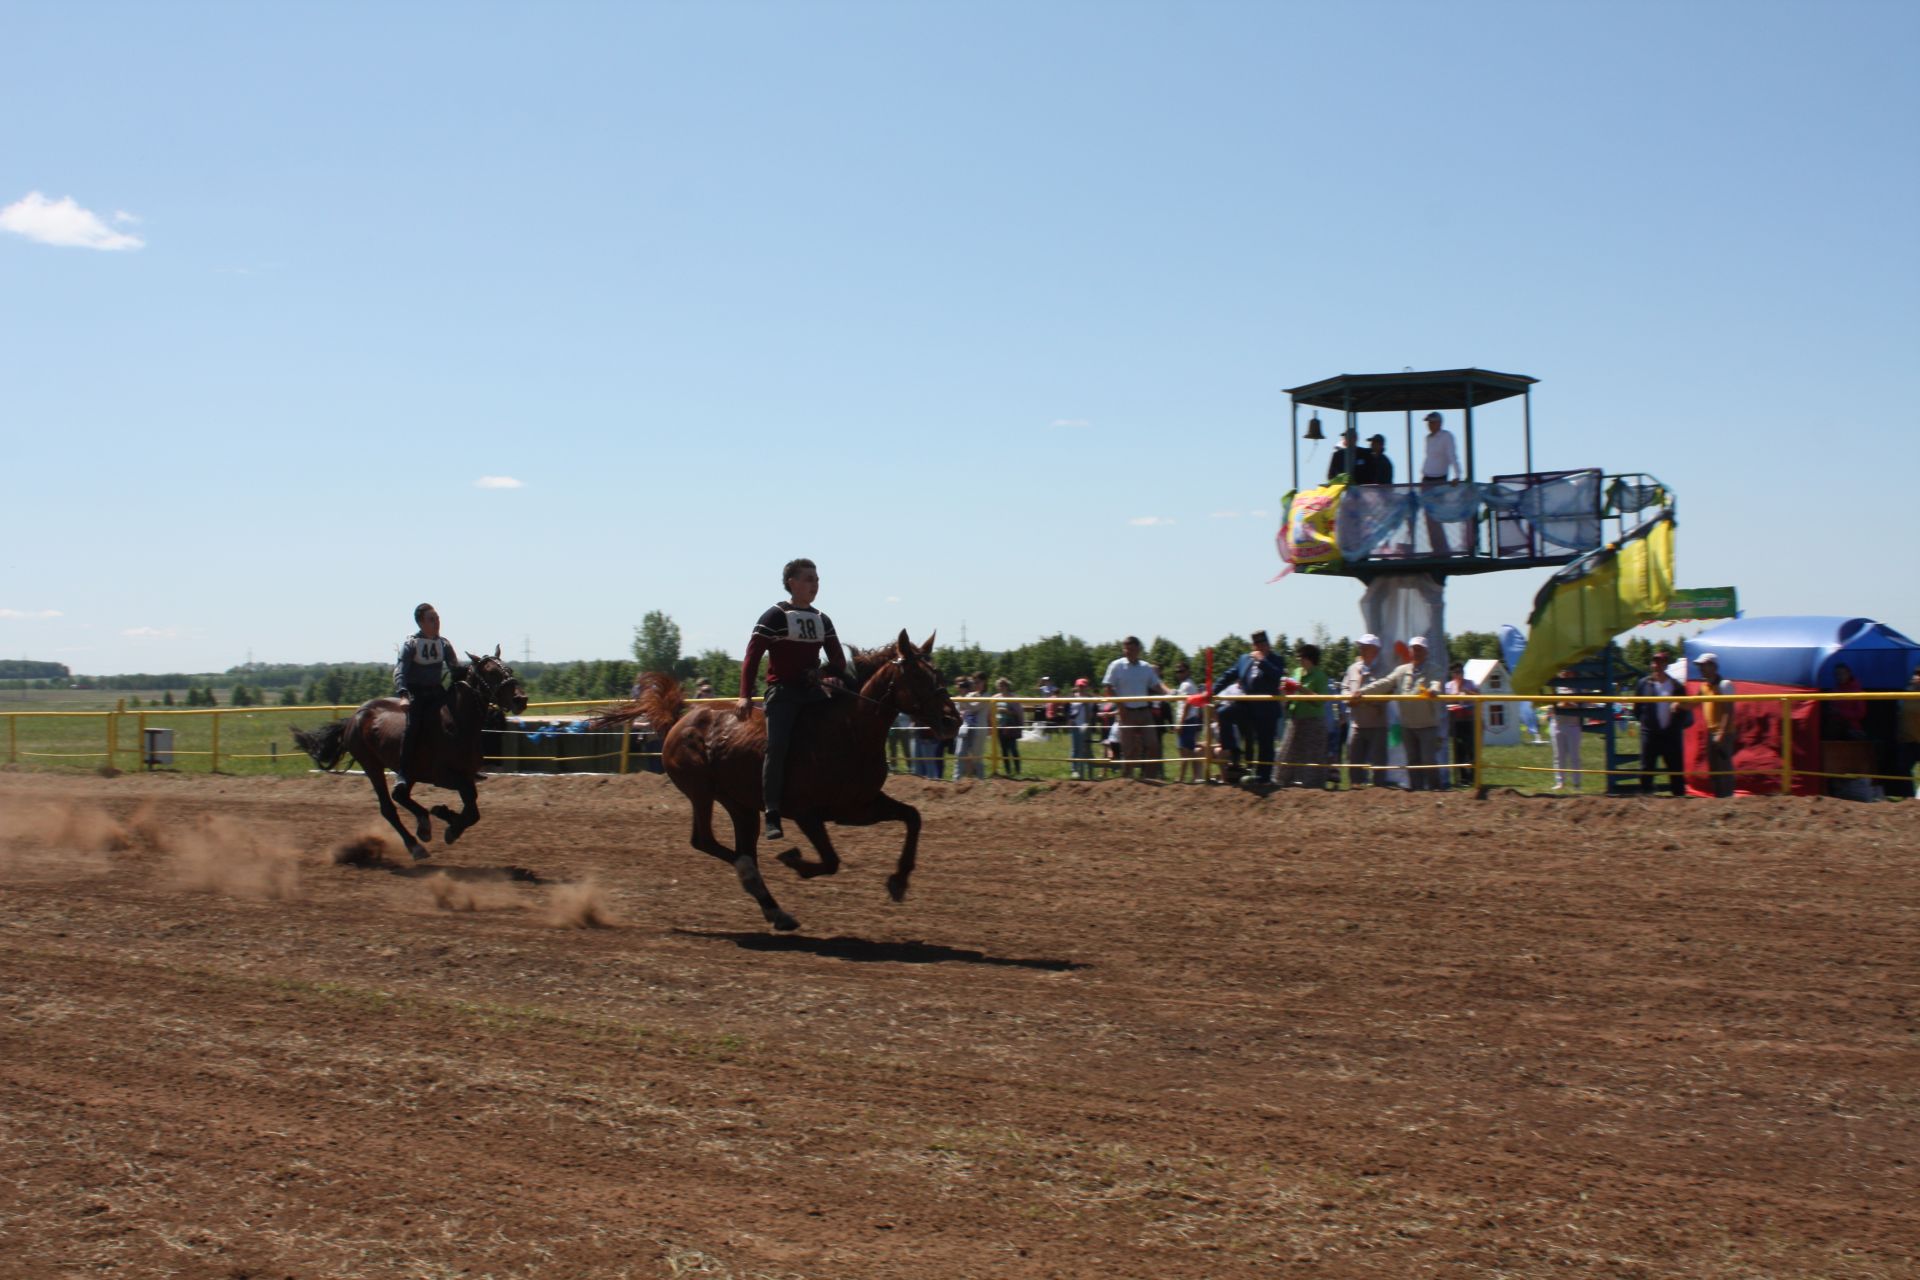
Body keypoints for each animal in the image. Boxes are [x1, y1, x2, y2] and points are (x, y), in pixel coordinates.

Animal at [288, 652, 526, 859]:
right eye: (491, 673)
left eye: (510, 669)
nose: (521, 699)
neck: (457, 723)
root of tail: (354, 717)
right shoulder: (444, 776)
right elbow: (472, 808)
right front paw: (448, 822)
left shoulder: (466, 775)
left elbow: (472, 808)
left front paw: (445, 816)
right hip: (372, 765)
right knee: (388, 807)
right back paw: (415, 845)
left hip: (408, 770)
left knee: (399, 795)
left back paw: (424, 824)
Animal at [599, 629, 960, 932]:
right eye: (917, 674)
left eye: (940, 674)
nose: (952, 721)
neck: (848, 731)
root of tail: (679, 720)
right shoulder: (806, 814)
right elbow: (830, 861)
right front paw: (794, 860)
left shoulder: (859, 807)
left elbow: (913, 816)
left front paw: (899, 881)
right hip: (701, 792)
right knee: (706, 842)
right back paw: (755, 880)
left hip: (740, 805)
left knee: (736, 847)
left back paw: (774, 908)